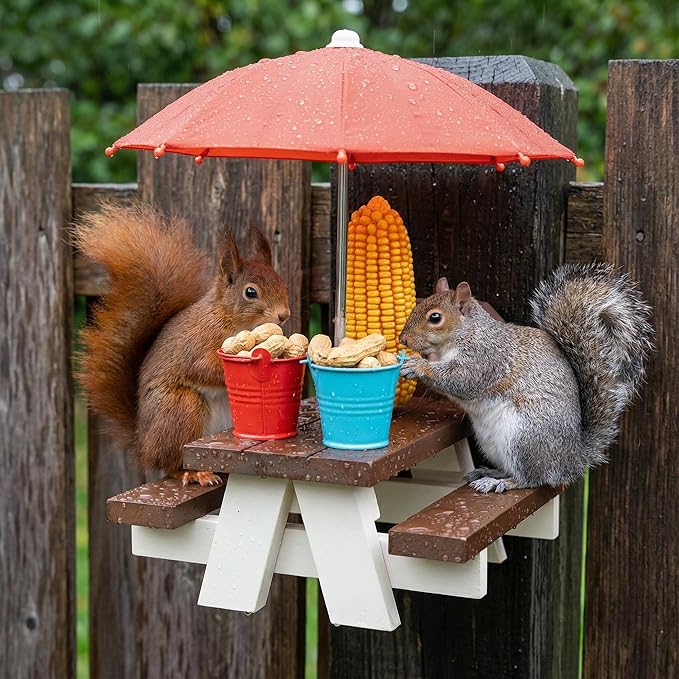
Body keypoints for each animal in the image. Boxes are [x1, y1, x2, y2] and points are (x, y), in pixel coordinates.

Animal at [75, 203, 291, 486]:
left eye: (283, 283)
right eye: (251, 292)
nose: (284, 315)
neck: (230, 318)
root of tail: (143, 444)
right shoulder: (198, 344)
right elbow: (202, 368)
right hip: (182, 407)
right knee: (170, 464)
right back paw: (194, 473)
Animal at [399, 262, 653, 493]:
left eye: (435, 318)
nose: (403, 339)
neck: (464, 333)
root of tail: (570, 460)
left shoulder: (486, 358)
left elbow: (461, 379)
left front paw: (419, 365)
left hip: (524, 436)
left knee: (531, 479)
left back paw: (500, 482)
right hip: (492, 442)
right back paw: (489, 472)